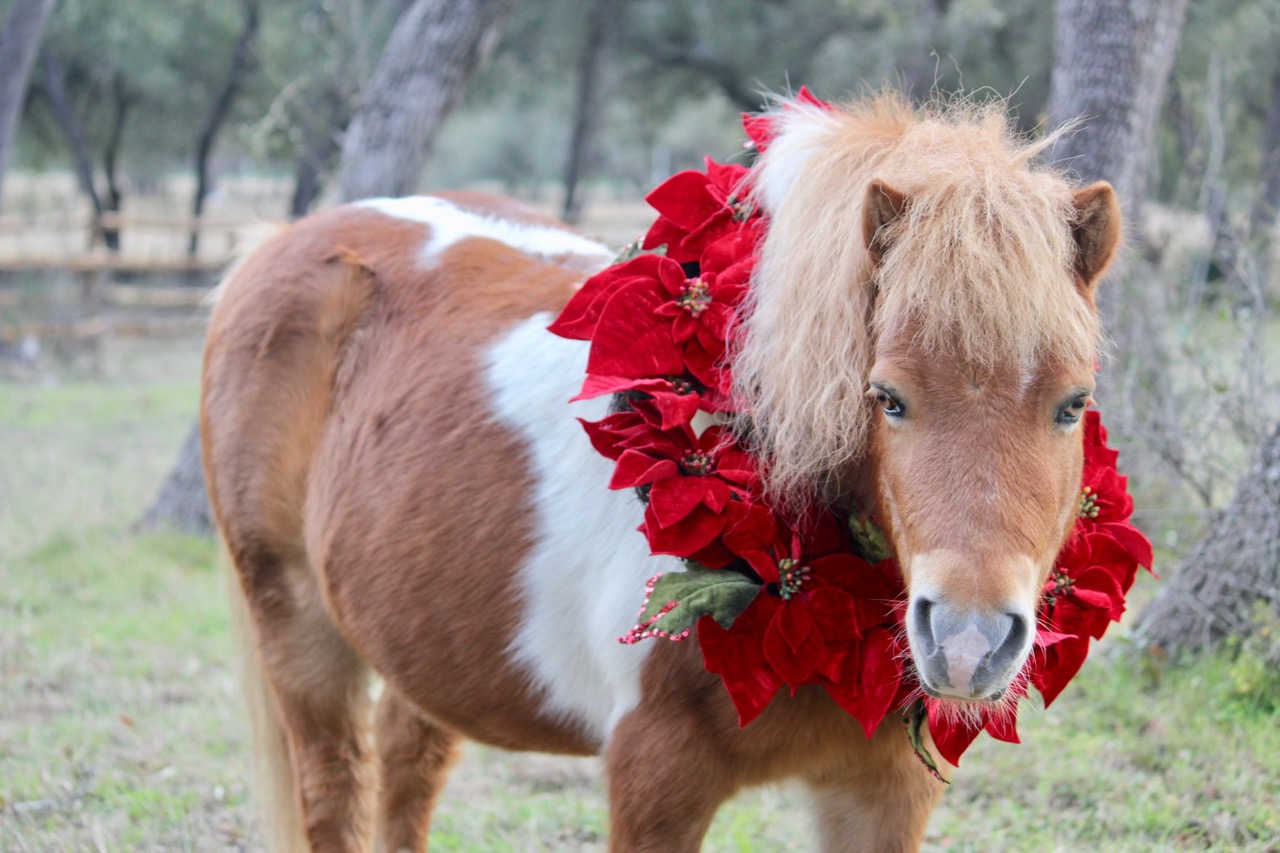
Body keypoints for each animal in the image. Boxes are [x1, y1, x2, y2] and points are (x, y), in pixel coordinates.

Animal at [201, 93, 1120, 852]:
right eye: (887, 397)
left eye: (1074, 402)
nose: (968, 643)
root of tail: (279, 248)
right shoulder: (656, 777)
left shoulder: (883, 794)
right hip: (296, 629)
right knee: (336, 786)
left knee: (407, 765)